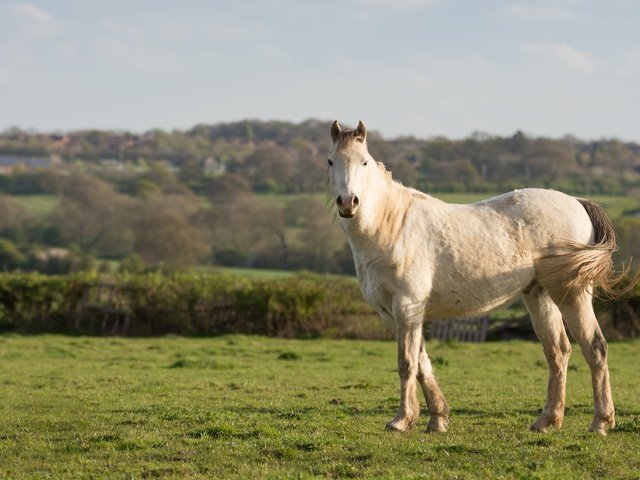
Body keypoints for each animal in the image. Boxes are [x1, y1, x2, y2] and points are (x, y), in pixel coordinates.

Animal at [328, 119, 628, 436]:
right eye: (331, 161)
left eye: (364, 161)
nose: (348, 202)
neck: (392, 225)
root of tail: (576, 201)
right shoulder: (392, 313)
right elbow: (422, 363)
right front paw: (437, 418)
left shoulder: (407, 306)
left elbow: (407, 363)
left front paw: (401, 420)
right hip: (540, 295)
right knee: (557, 351)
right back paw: (547, 420)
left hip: (571, 294)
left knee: (595, 347)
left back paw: (600, 422)